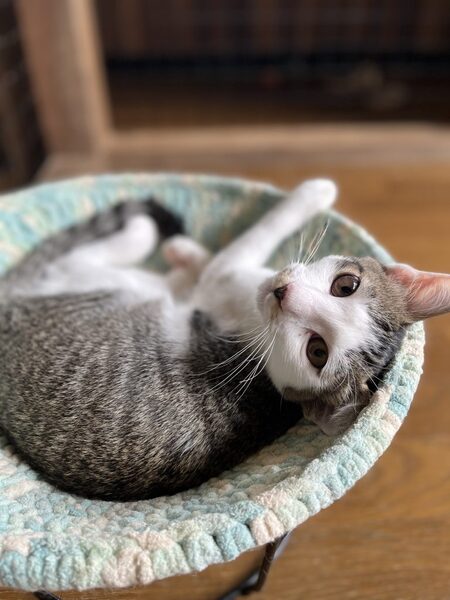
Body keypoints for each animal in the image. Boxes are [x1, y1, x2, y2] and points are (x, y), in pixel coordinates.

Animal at [0, 179, 448, 501]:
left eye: (317, 352)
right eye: (346, 285)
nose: (284, 294)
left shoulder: (227, 275)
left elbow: (251, 239)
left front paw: (313, 191)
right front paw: (188, 253)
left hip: (99, 286)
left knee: (85, 258)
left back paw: (147, 236)